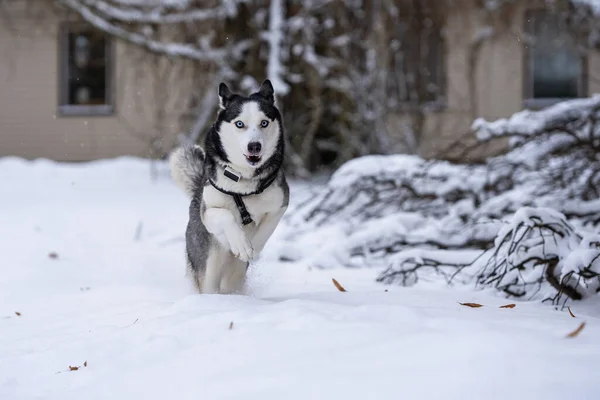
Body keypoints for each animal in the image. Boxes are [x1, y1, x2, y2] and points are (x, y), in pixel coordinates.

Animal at [170, 79, 290, 294]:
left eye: (264, 123)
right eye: (239, 124)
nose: (254, 146)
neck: (244, 183)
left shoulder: (281, 203)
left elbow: (267, 228)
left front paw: (253, 247)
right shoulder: (208, 213)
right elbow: (225, 216)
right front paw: (242, 245)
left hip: (233, 278)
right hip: (208, 267)